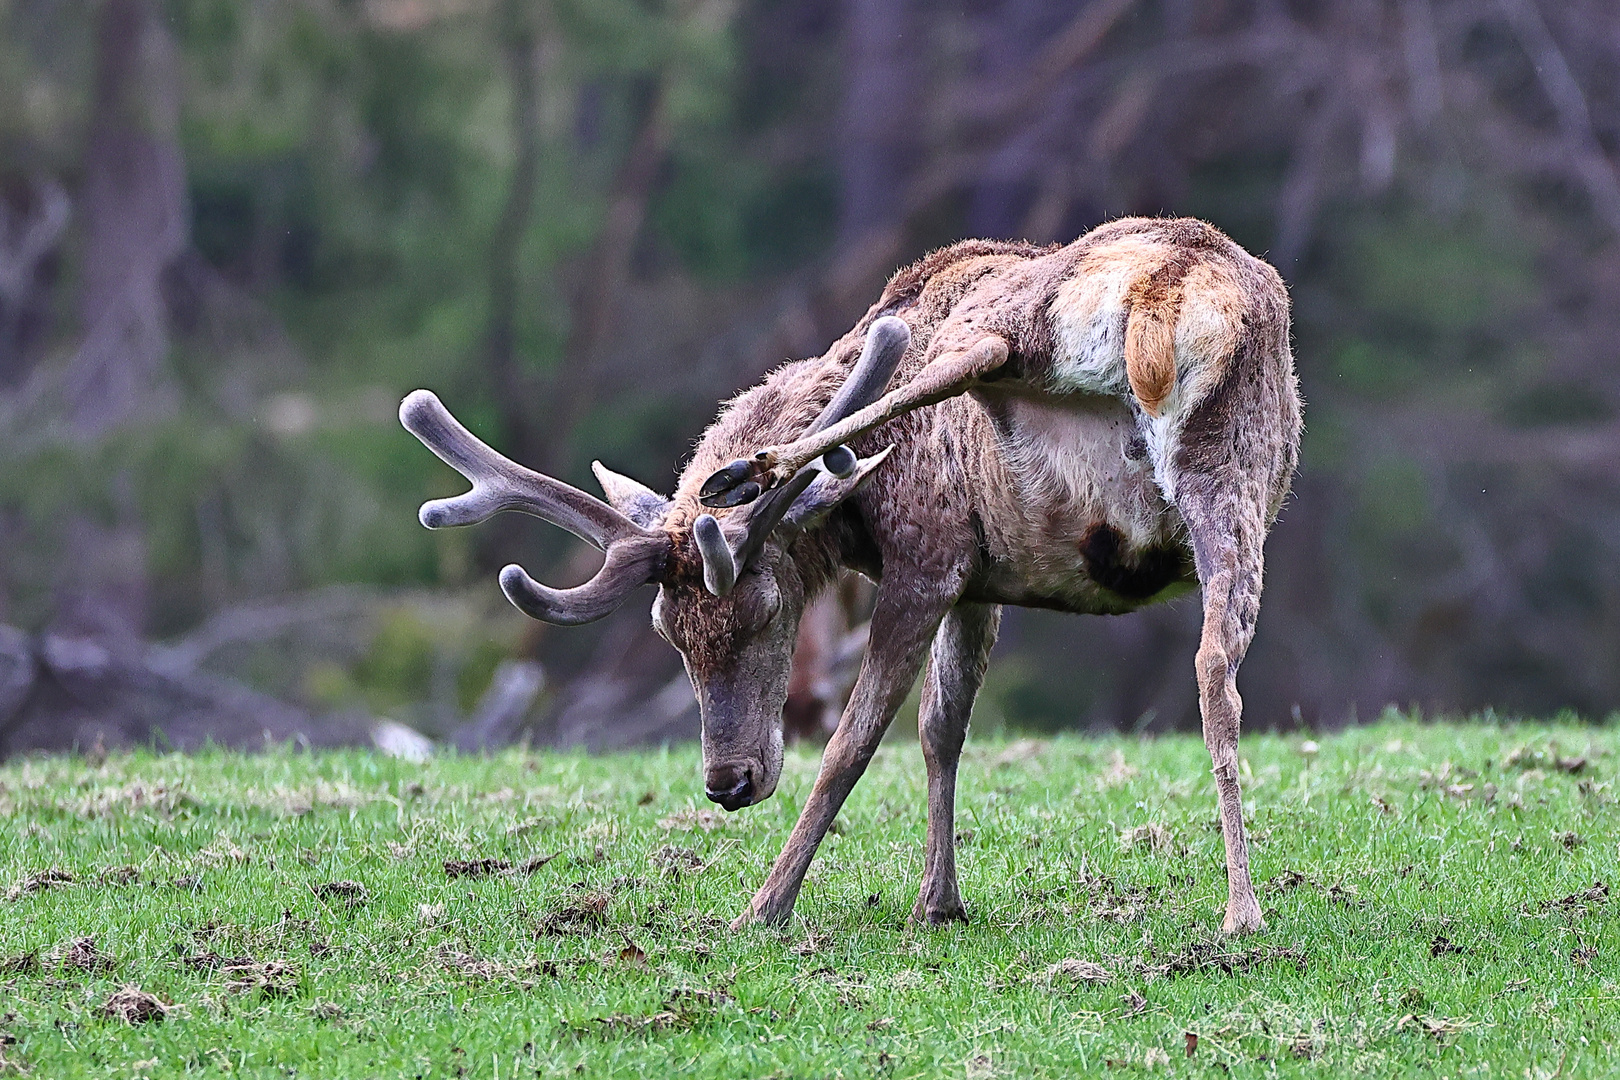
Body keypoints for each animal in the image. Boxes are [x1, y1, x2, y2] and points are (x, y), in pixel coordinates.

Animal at [405, 215, 1302, 932]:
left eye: (765, 609)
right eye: (669, 634)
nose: (728, 783)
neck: (856, 533)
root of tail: (1166, 294)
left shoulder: (927, 555)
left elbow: (854, 742)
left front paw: (767, 907)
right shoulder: (982, 577)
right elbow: (943, 727)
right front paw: (939, 902)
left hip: (1031, 331)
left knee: (960, 352)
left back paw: (761, 466)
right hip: (1235, 483)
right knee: (1215, 668)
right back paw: (1243, 907)